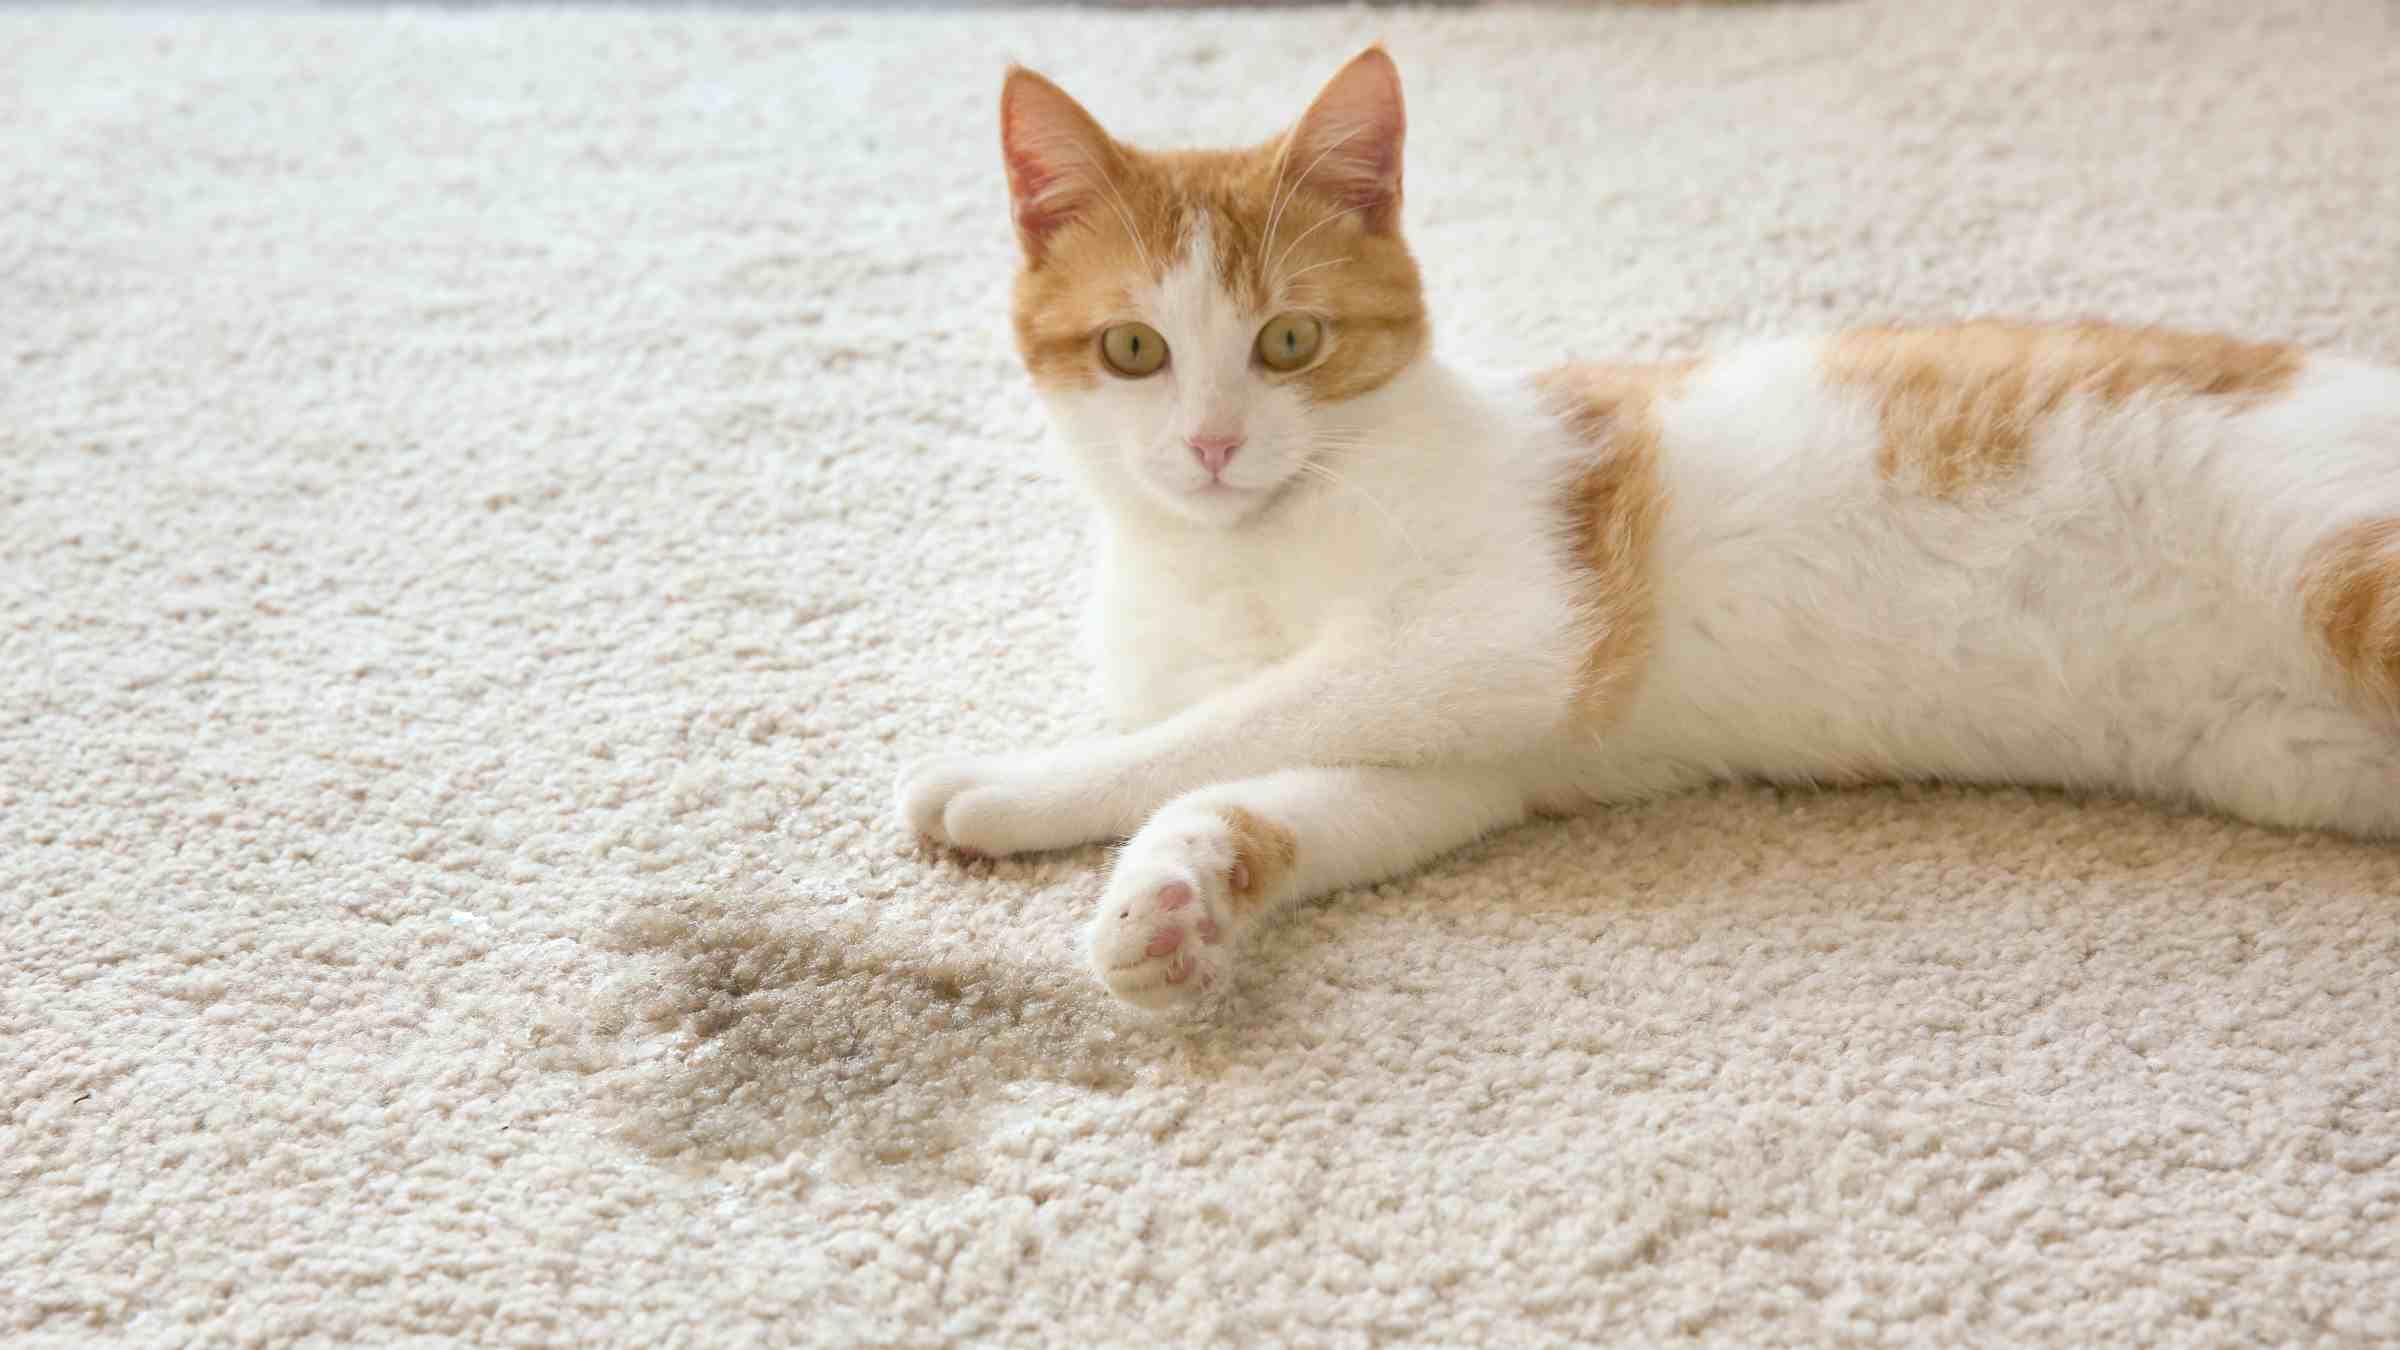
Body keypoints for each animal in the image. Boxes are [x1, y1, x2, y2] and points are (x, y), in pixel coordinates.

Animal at [897, 47, 2400, 1004]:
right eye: (1134, 349)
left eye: (1289, 341)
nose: (1212, 446)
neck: (1228, 555)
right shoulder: (1464, 765)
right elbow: (1262, 788)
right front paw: (1173, 906)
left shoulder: (1506, 636)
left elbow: (1215, 729)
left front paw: (1011, 785)